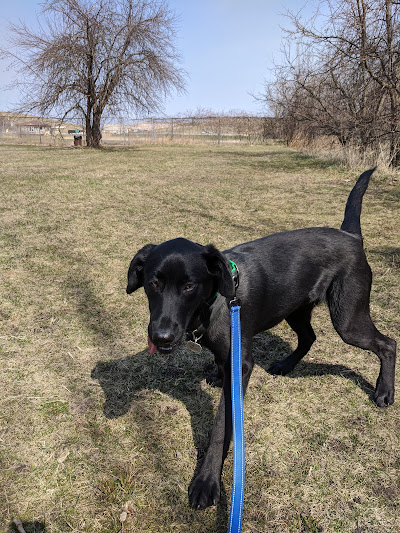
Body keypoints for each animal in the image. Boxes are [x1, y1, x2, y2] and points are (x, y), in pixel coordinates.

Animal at [126, 169, 396, 508]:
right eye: (153, 283)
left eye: (189, 286)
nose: (161, 337)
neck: (215, 302)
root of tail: (351, 236)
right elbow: (221, 367)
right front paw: (217, 376)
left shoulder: (242, 364)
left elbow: (221, 426)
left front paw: (206, 482)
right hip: (295, 308)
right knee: (309, 337)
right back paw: (285, 365)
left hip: (348, 318)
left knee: (388, 343)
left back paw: (384, 392)